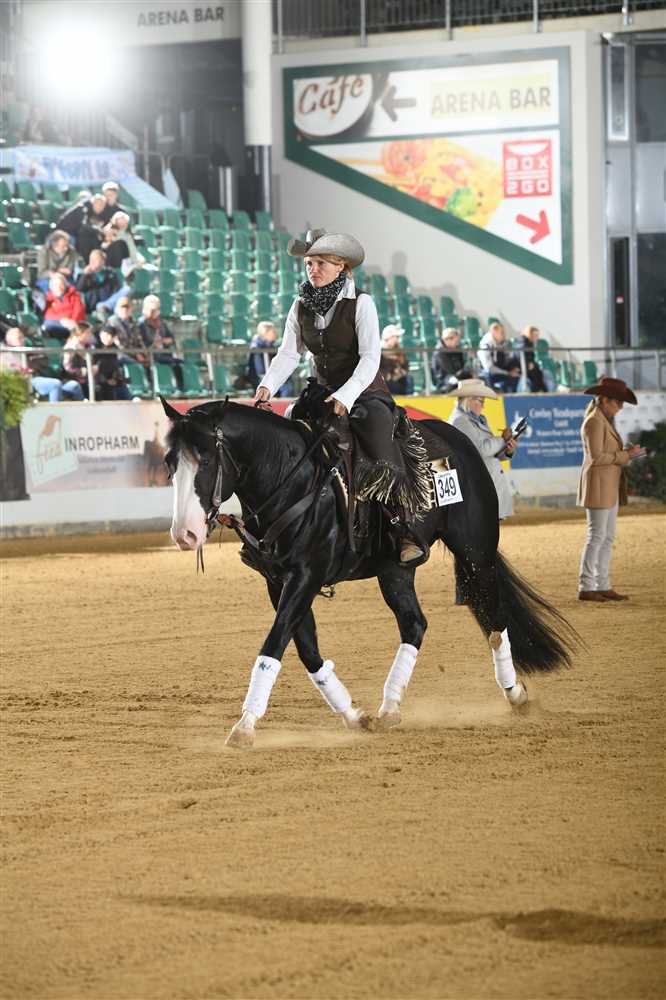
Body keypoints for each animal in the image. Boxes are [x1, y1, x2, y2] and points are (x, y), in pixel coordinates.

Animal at [161, 396, 576, 748]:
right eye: (169, 463)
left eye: (206, 461)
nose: (185, 534)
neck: (293, 481)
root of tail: (460, 440)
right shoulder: (278, 582)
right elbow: (307, 651)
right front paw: (353, 715)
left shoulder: (306, 577)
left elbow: (274, 644)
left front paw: (245, 726)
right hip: (396, 570)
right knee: (415, 624)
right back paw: (389, 707)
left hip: (476, 552)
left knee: (495, 618)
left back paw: (516, 694)